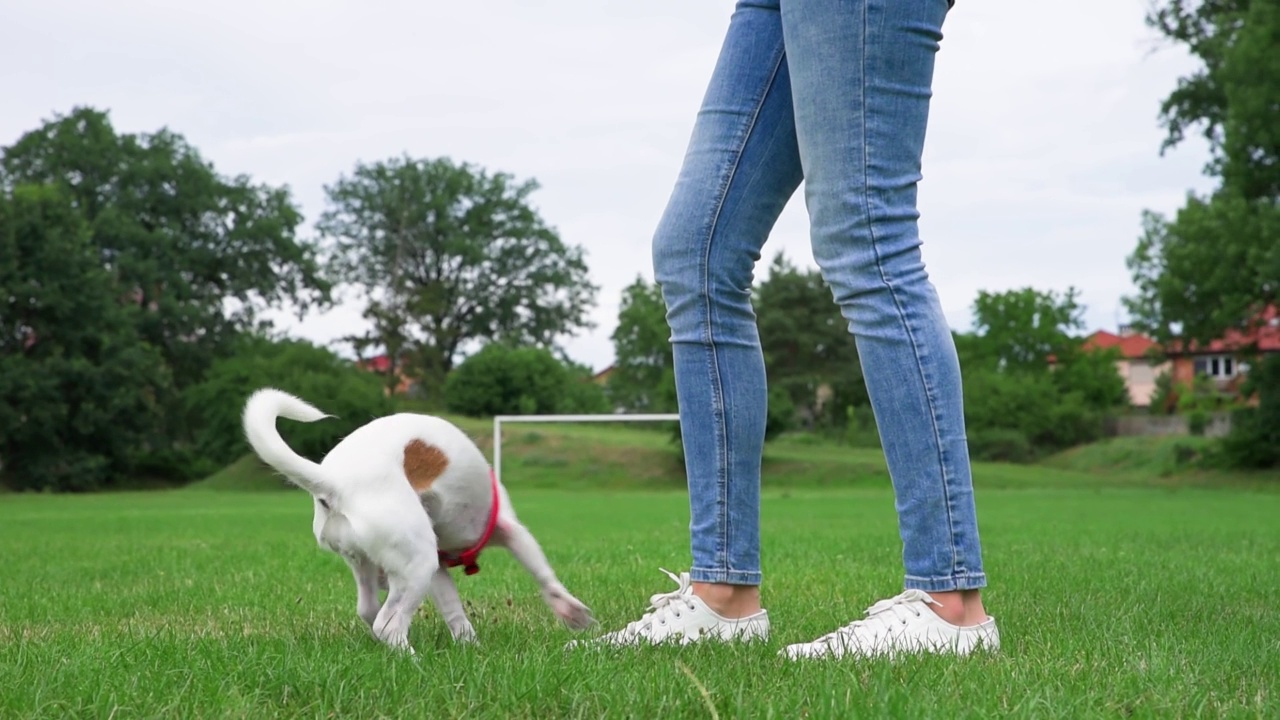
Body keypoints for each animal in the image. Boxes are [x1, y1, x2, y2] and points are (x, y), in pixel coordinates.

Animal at [240, 386, 593, 650]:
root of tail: (333, 482)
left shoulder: (439, 571)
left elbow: (454, 611)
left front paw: (470, 648)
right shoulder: (511, 530)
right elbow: (544, 575)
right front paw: (573, 613)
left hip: (370, 563)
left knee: (369, 610)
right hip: (417, 561)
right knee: (388, 626)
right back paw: (414, 661)